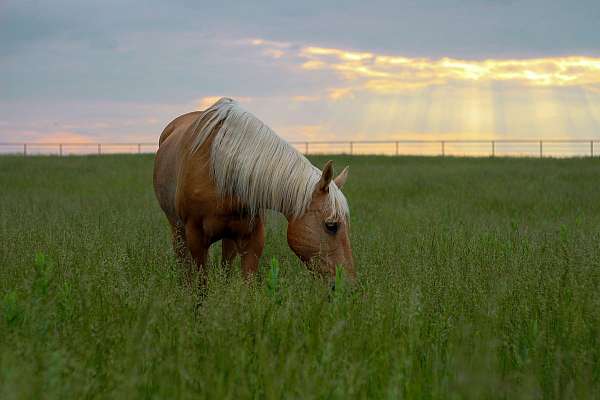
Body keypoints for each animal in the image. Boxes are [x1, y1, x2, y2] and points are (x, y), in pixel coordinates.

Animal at [152, 97, 354, 284]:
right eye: (331, 226)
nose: (348, 283)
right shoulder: (196, 239)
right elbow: (201, 286)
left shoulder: (253, 240)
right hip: (177, 230)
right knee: (184, 265)